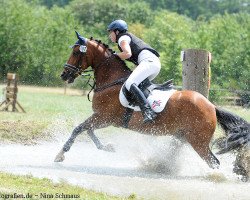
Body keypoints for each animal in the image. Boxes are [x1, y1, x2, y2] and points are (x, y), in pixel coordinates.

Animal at [54, 32, 250, 179]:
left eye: (77, 52)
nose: (64, 75)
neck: (111, 80)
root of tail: (211, 107)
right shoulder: (102, 118)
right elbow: (88, 130)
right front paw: (107, 147)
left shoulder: (104, 117)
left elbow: (79, 129)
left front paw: (60, 154)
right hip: (184, 137)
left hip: (198, 142)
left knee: (214, 162)